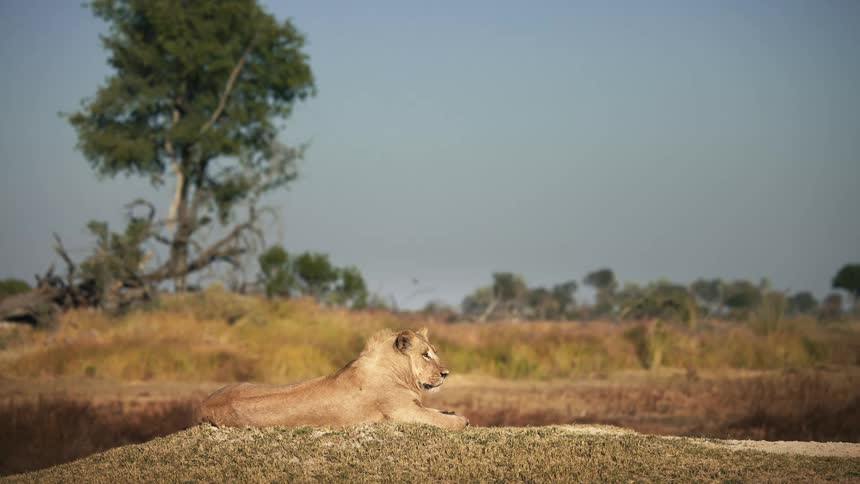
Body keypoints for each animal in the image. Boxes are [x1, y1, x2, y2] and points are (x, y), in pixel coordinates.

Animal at [199, 328, 469, 430]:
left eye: (434, 352)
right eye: (425, 355)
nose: (446, 374)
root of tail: (203, 405)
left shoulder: (414, 407)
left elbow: (439, 412)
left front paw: (451, 412)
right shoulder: (403, 413)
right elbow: (440, 419)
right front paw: (462, 420)